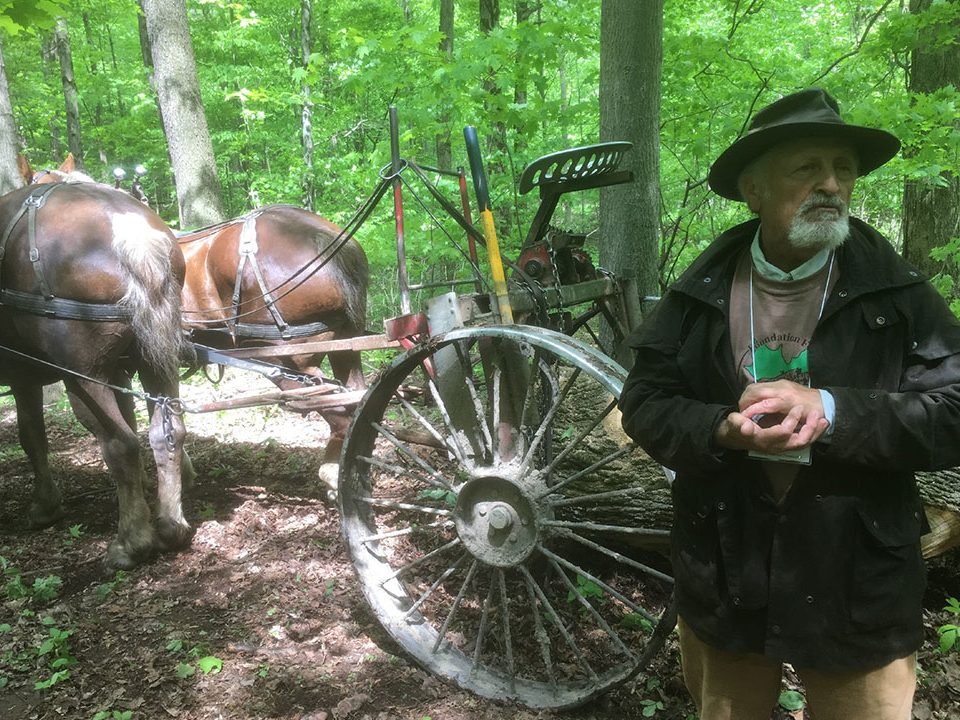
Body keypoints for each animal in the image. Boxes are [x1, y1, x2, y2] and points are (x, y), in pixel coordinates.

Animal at [3, 162, 195, 568]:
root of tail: (128, 229)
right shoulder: (119, 370)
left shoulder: (20, 373)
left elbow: (31, 435)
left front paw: (45, 506)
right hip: (155, 359)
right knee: (166, 433)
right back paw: (170, 525)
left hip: (82, 375)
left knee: (119, 443)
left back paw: (131, 543)